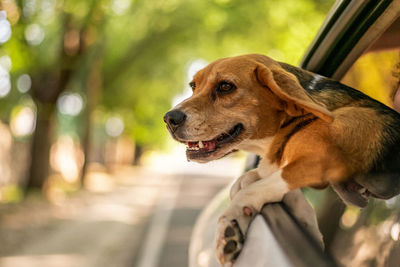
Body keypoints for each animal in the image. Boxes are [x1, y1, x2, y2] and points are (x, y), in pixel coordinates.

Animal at [162, 54, 400, 266]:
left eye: (225, 87)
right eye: (193, 86)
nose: (169, 118)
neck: (296, 119)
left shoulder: (319, 158)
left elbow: (256, 187)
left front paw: (231, 223)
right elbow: (258, 182)